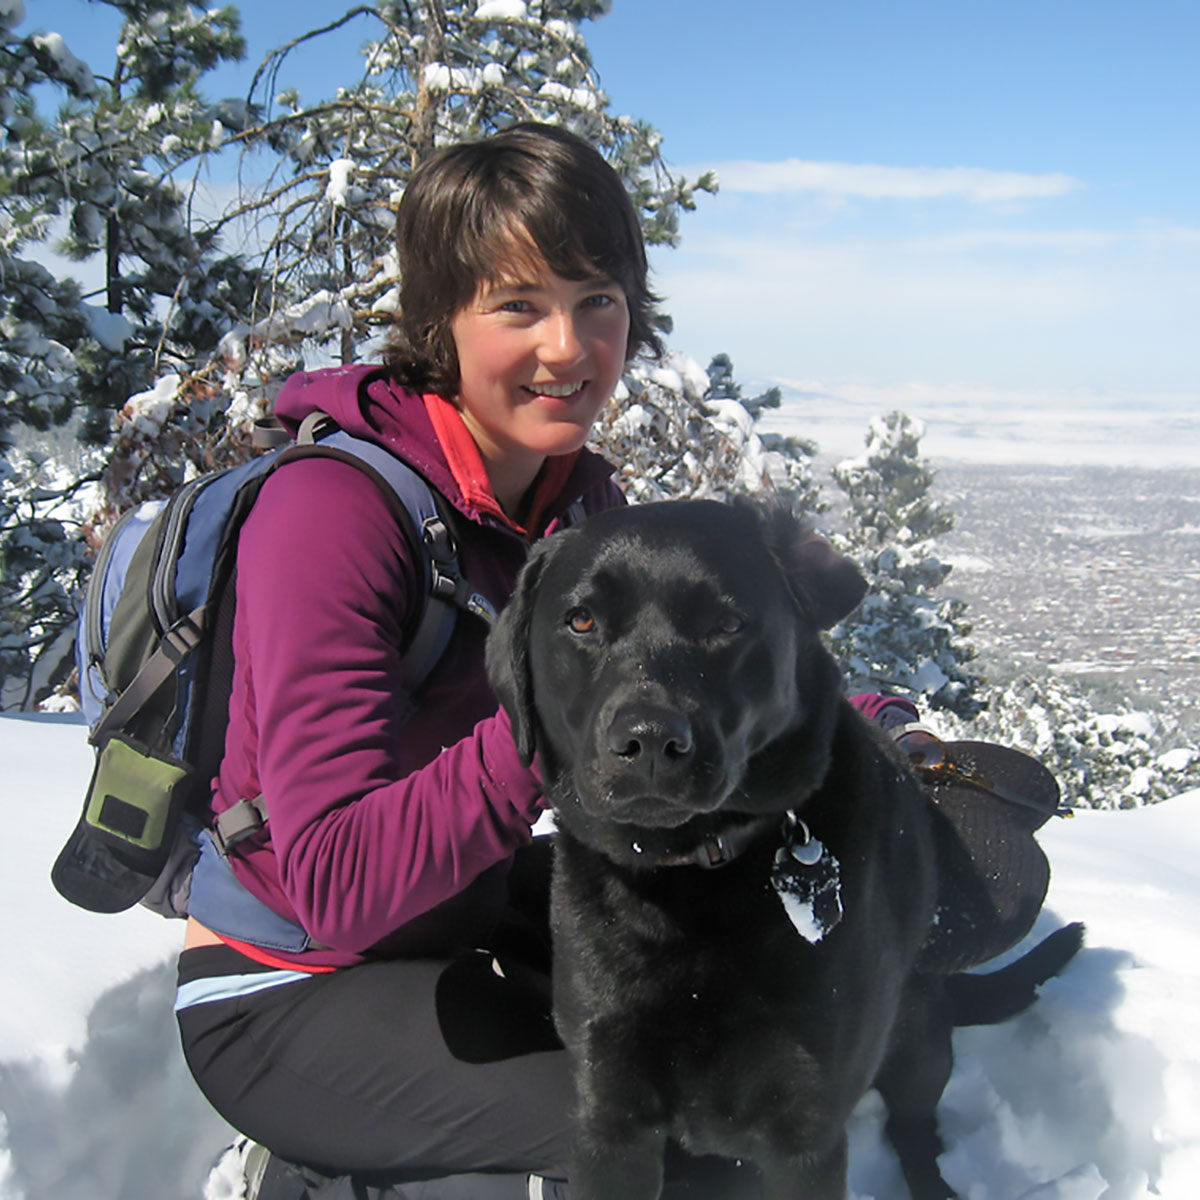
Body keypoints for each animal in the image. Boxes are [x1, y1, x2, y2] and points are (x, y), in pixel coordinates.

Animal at [484, 499, 1080, 1200]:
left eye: (726, 622)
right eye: (581, 620)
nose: (649, 740)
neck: (688, 888)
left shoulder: (804, 1130)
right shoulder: (608, 1119)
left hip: (918, 1050)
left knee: (915, 1131)